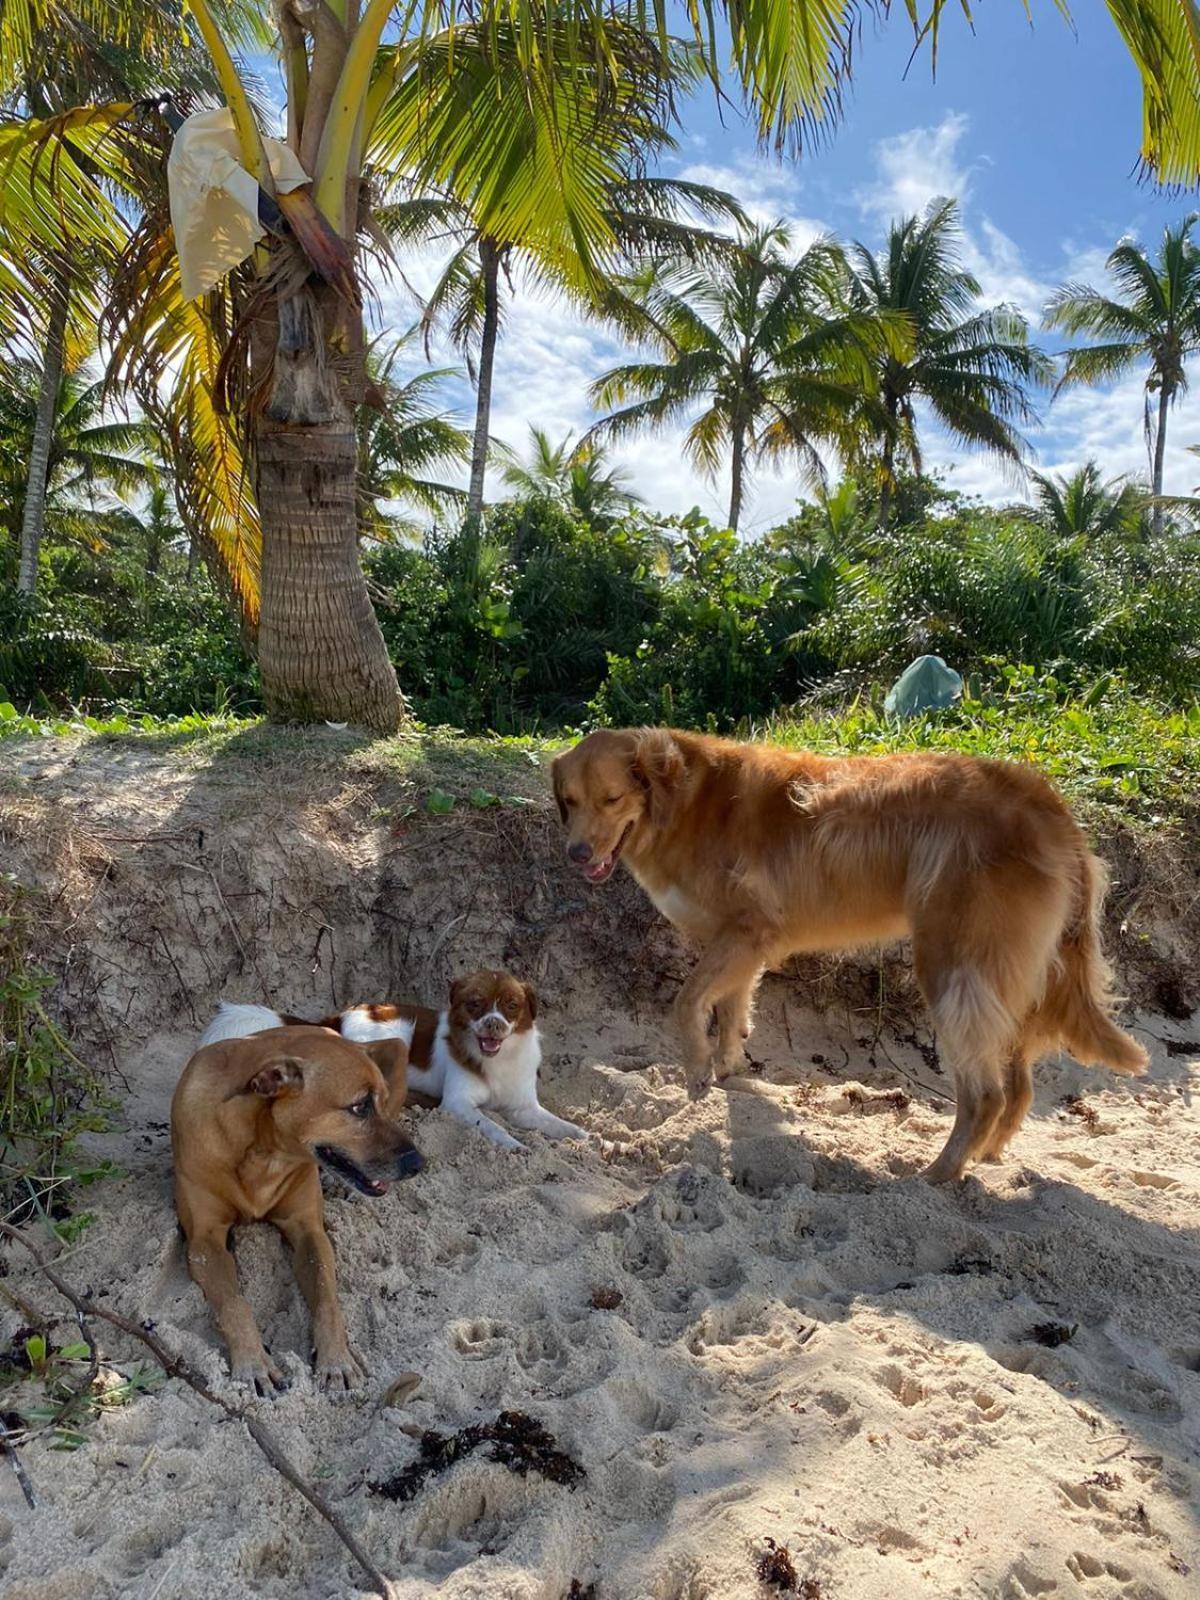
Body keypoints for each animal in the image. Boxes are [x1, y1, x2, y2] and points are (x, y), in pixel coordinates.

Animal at [171, 1024, 425, 1388]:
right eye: (359, 1107)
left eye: (376, 1101)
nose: (419, 1163)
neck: (263, 1152)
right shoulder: (204, 1243)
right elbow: (234, 1302)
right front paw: (252, 1362)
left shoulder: (308, 1231)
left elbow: (328, 1298)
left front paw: (336, 1359)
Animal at [200, 960, 588, 1152]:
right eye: (475, 1004)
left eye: (511, 1006)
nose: (493, 1025)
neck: (496, 1060)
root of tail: (337, 1018)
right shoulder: (458, 1104)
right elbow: (491, 1124)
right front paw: (512, 1143)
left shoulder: (525, 1107)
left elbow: (556, 1123)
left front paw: (582, 1137)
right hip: (394, 1037)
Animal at [550, 732, 1152, 1184]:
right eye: (569, 802)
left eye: (611, 799)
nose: (576, 855)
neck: (683, 800)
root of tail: (1046, 800)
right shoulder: (743, 943)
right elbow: (730, 1009)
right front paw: (726, 1071)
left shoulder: (746, 930)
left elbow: (686, 1000)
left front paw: (697, 1070)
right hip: (1005, 979)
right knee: (1018, 1088)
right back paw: (982, 1158)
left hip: (953, 969)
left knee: (985, 1094)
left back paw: (936, 1176)